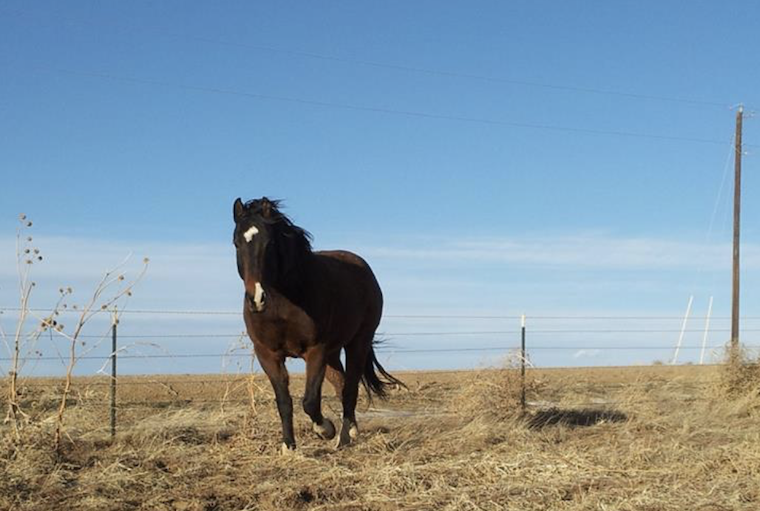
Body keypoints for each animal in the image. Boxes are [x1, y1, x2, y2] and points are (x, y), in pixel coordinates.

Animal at [232, 197, 404, 453]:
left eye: (269, 243)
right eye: (236, 243)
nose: (256, 299)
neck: (284, 303)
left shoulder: (315, 351)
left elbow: (310, 401)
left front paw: (325, 430)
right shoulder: (268, 355)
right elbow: (284, 401)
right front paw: (288, 446)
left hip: (357, 344)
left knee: (350, 388)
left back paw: (344, 437)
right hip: (333, 353)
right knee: (341, 384)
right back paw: (351, 430)